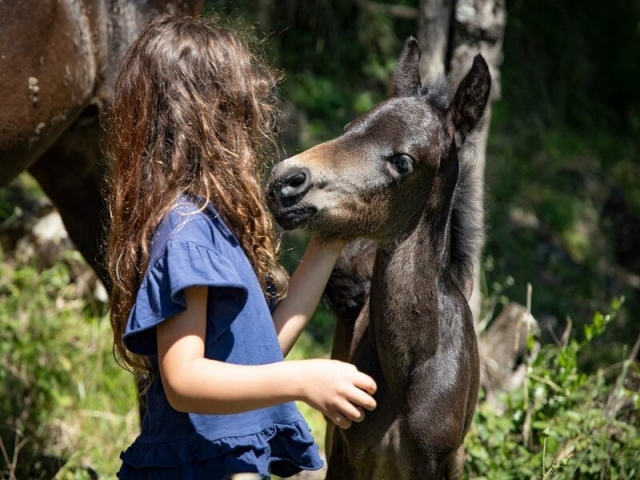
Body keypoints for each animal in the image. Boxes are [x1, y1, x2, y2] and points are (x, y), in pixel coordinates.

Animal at [268, 38, 492, 480]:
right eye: (348, 129)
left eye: (403, 161)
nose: (285, 182)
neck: (407, 370)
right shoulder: (345, 452)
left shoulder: (437, 464)